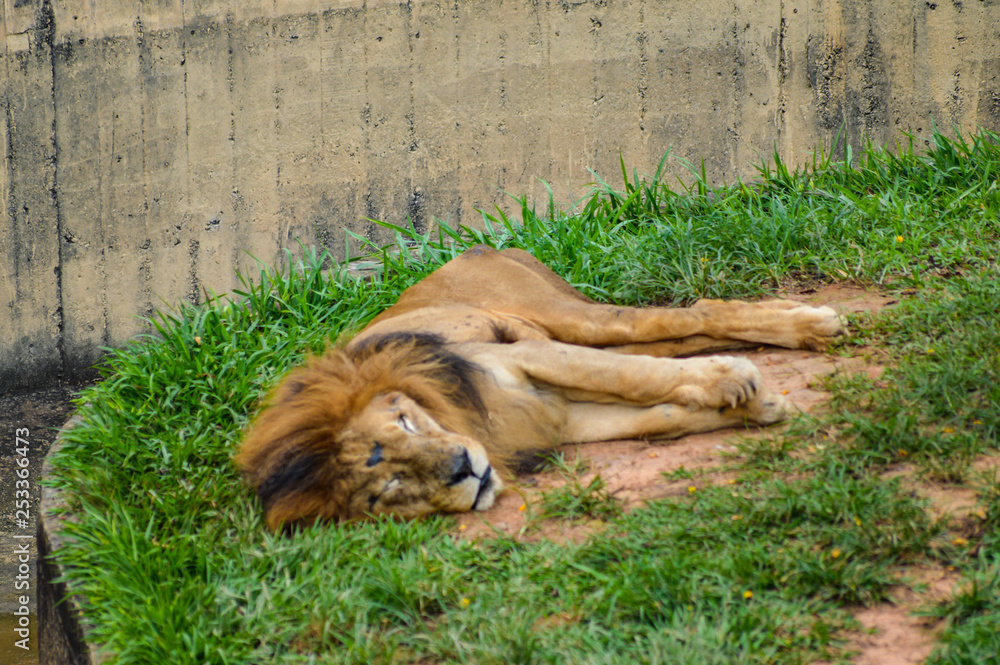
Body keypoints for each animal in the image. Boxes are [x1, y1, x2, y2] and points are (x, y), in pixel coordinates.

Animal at [236, 245, 842, 530]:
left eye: (406, 422)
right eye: (388, 488)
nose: (463, 469)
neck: (473, 426)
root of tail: (480, 248)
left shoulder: (520, 357)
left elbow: (635, 378)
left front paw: (737, 381)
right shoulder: (564, 417)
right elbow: (662, 414)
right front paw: (758, 405)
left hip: (574, 320)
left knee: (688, 314)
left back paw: (814, 323)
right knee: (683, 333)